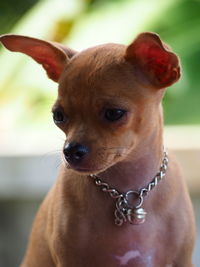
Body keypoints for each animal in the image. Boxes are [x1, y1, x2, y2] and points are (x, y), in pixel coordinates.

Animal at [0, 31, 195, 267]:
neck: (126, 192)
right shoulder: (70, 261)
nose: (71, 151)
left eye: (114, 113)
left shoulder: (183, 260)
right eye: (58, 116)